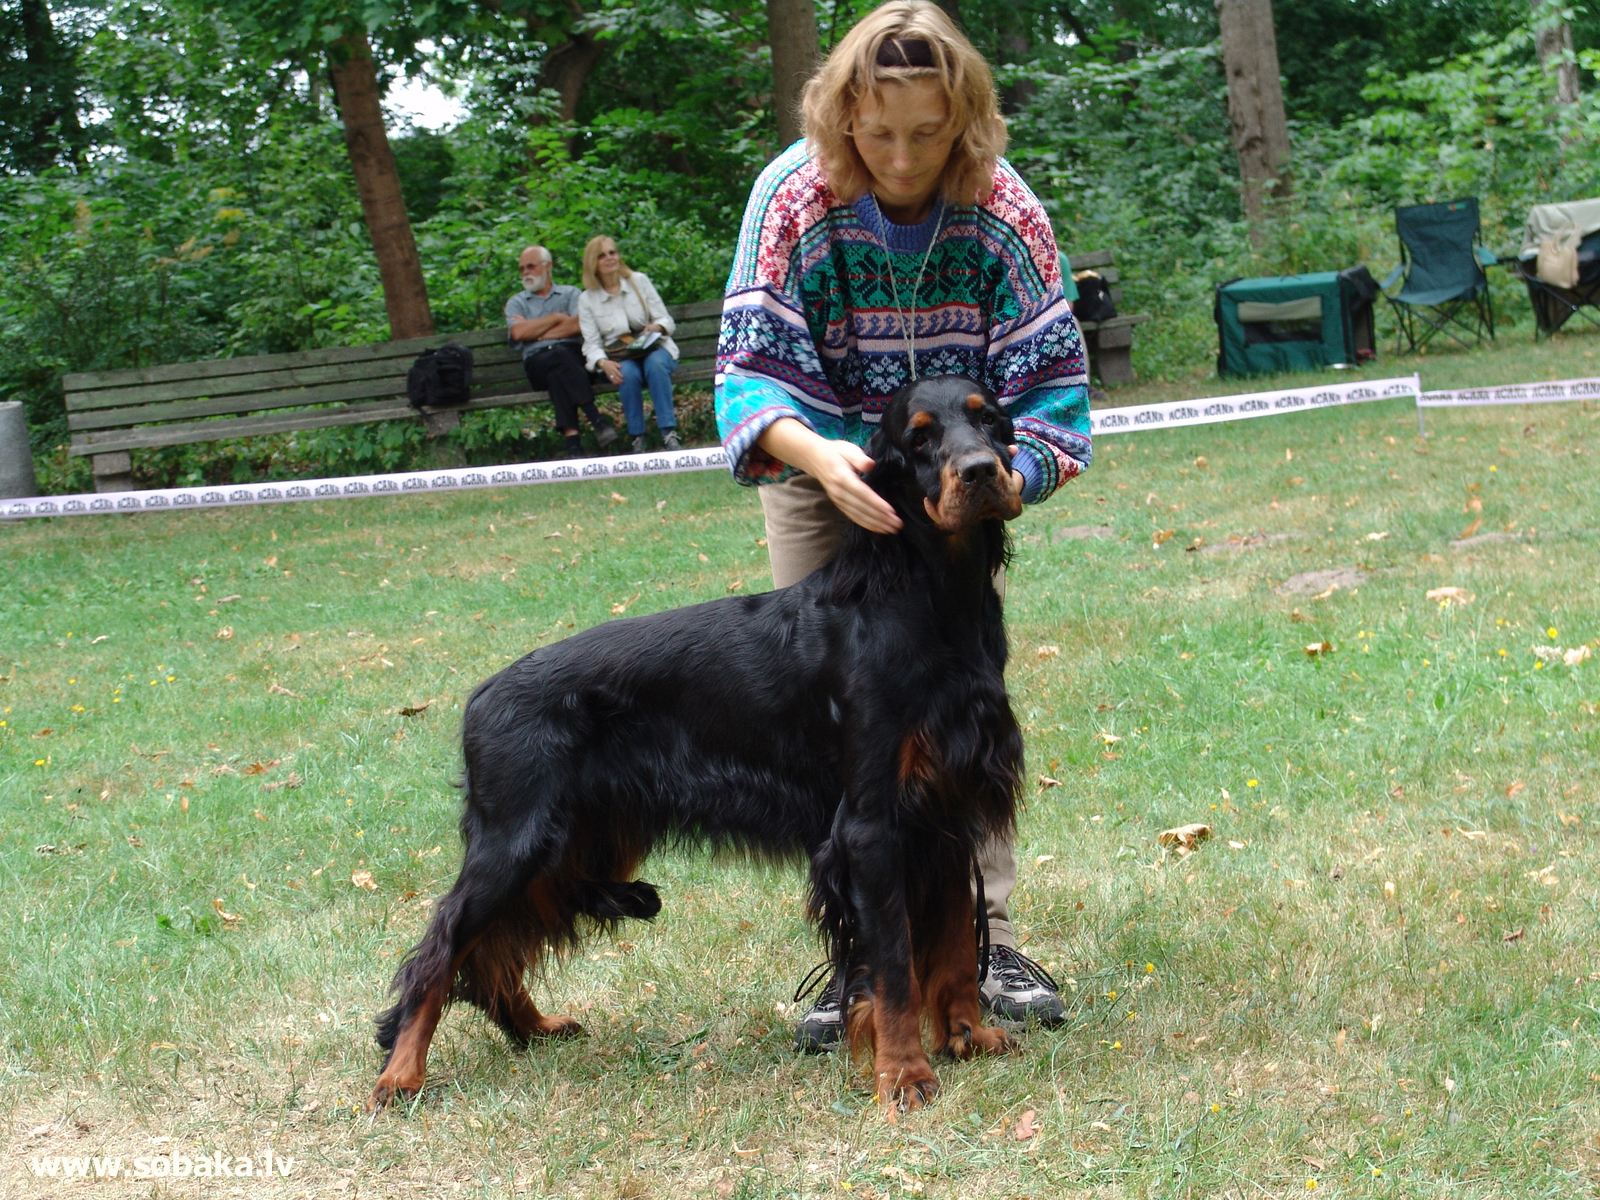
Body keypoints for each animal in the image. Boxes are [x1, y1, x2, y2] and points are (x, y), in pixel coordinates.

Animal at [369, 375, 1026, 1113]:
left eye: (989, 419)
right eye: (918, 438)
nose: (982, 472)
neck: (929, 605)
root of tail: (480, 696)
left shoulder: (946, 808)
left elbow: (953, 945)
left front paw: (969, 1035)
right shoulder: (872, 826)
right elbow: (892, 965)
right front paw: (905, 1074)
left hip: (572, 841)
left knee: (486, 952)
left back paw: (533, 1026)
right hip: (518, 840)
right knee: (443, 946)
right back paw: (400, 1076)